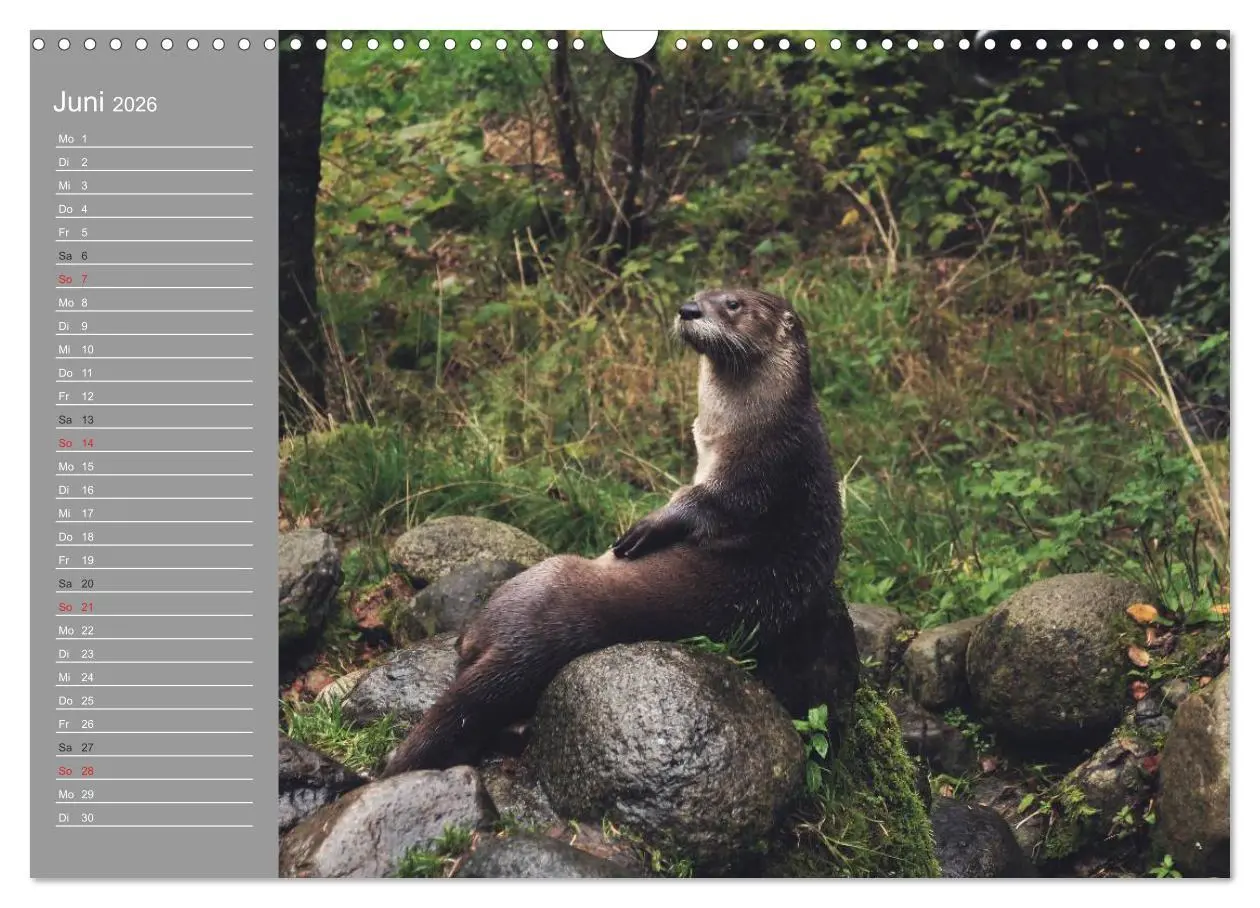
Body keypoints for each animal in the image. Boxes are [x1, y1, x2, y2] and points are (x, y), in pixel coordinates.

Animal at [380, 288, 849, 776]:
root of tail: (521, 647)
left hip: (536, 580)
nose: (688, 309)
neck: (761, 423)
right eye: (700, 293)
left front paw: (647, 527)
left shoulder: (759, 473)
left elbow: (705, 504)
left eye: (733, 304)